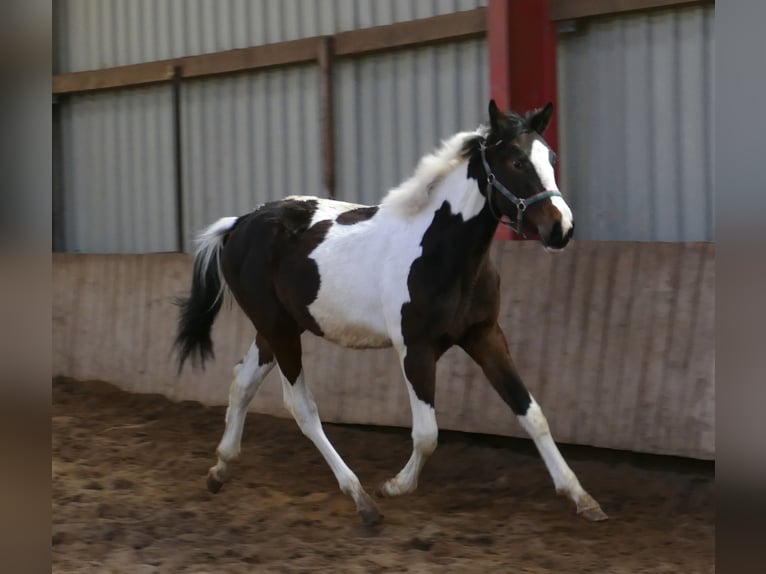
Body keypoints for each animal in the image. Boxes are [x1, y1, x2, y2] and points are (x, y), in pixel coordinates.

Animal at [172, 100, 608, 528]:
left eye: (551, 158)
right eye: (517, 161)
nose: (562, 229)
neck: (441, 250)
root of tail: (240, 223)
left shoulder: (484, 335)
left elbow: (531, 413)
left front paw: (582, 498)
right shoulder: (415, 349)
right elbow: (427, 434)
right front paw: (394, 487)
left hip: (276, 328)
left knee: (242, 382)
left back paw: (220, 470)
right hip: (280, 331)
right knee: (301, 407)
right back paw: (361, 498)